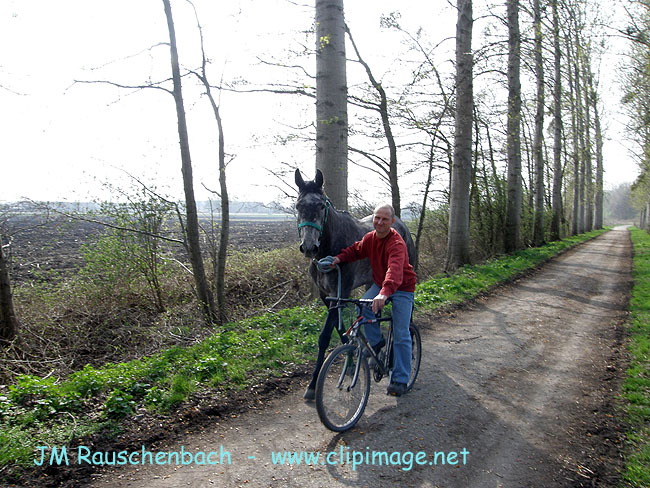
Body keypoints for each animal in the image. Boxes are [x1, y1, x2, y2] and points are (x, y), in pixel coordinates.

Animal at [294, 169, 416, 400]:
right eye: (298, 206)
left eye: (321, 205)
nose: (309, 247)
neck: (329, 250)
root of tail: (401, 224)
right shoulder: (328, 295)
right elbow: (340, 329)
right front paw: (350, 365)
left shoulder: (341, 291)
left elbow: (324, 337)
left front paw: (312, 385)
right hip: (371, 281)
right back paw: (373, 351)